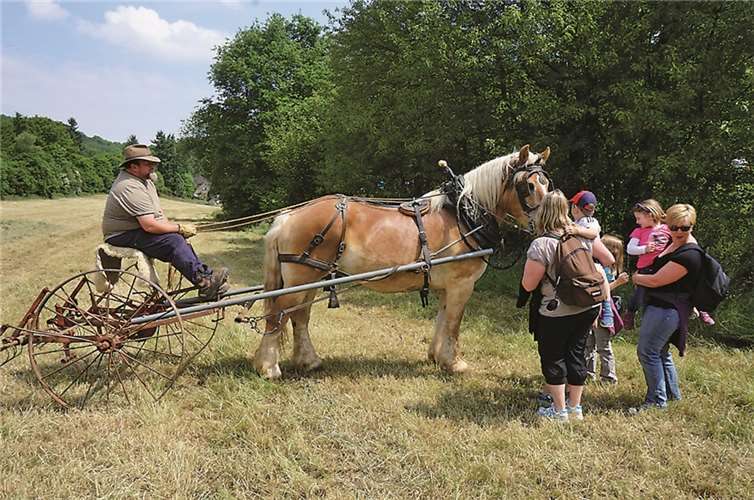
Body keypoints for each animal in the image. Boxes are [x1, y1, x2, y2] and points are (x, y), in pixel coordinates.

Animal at [252, 145, 552, 379]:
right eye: (528, 185)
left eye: (547, 184)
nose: (548, 224)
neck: (462, 215)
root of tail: (288, 216)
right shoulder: (462, 284)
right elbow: (454, 324)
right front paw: (455, 364)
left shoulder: (447, 286)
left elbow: (442, 320)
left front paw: (436, 357)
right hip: (300, 277)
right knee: (276, 315)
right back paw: (268, 367)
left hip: (311, 276)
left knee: (299, 316)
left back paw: (309, 361)